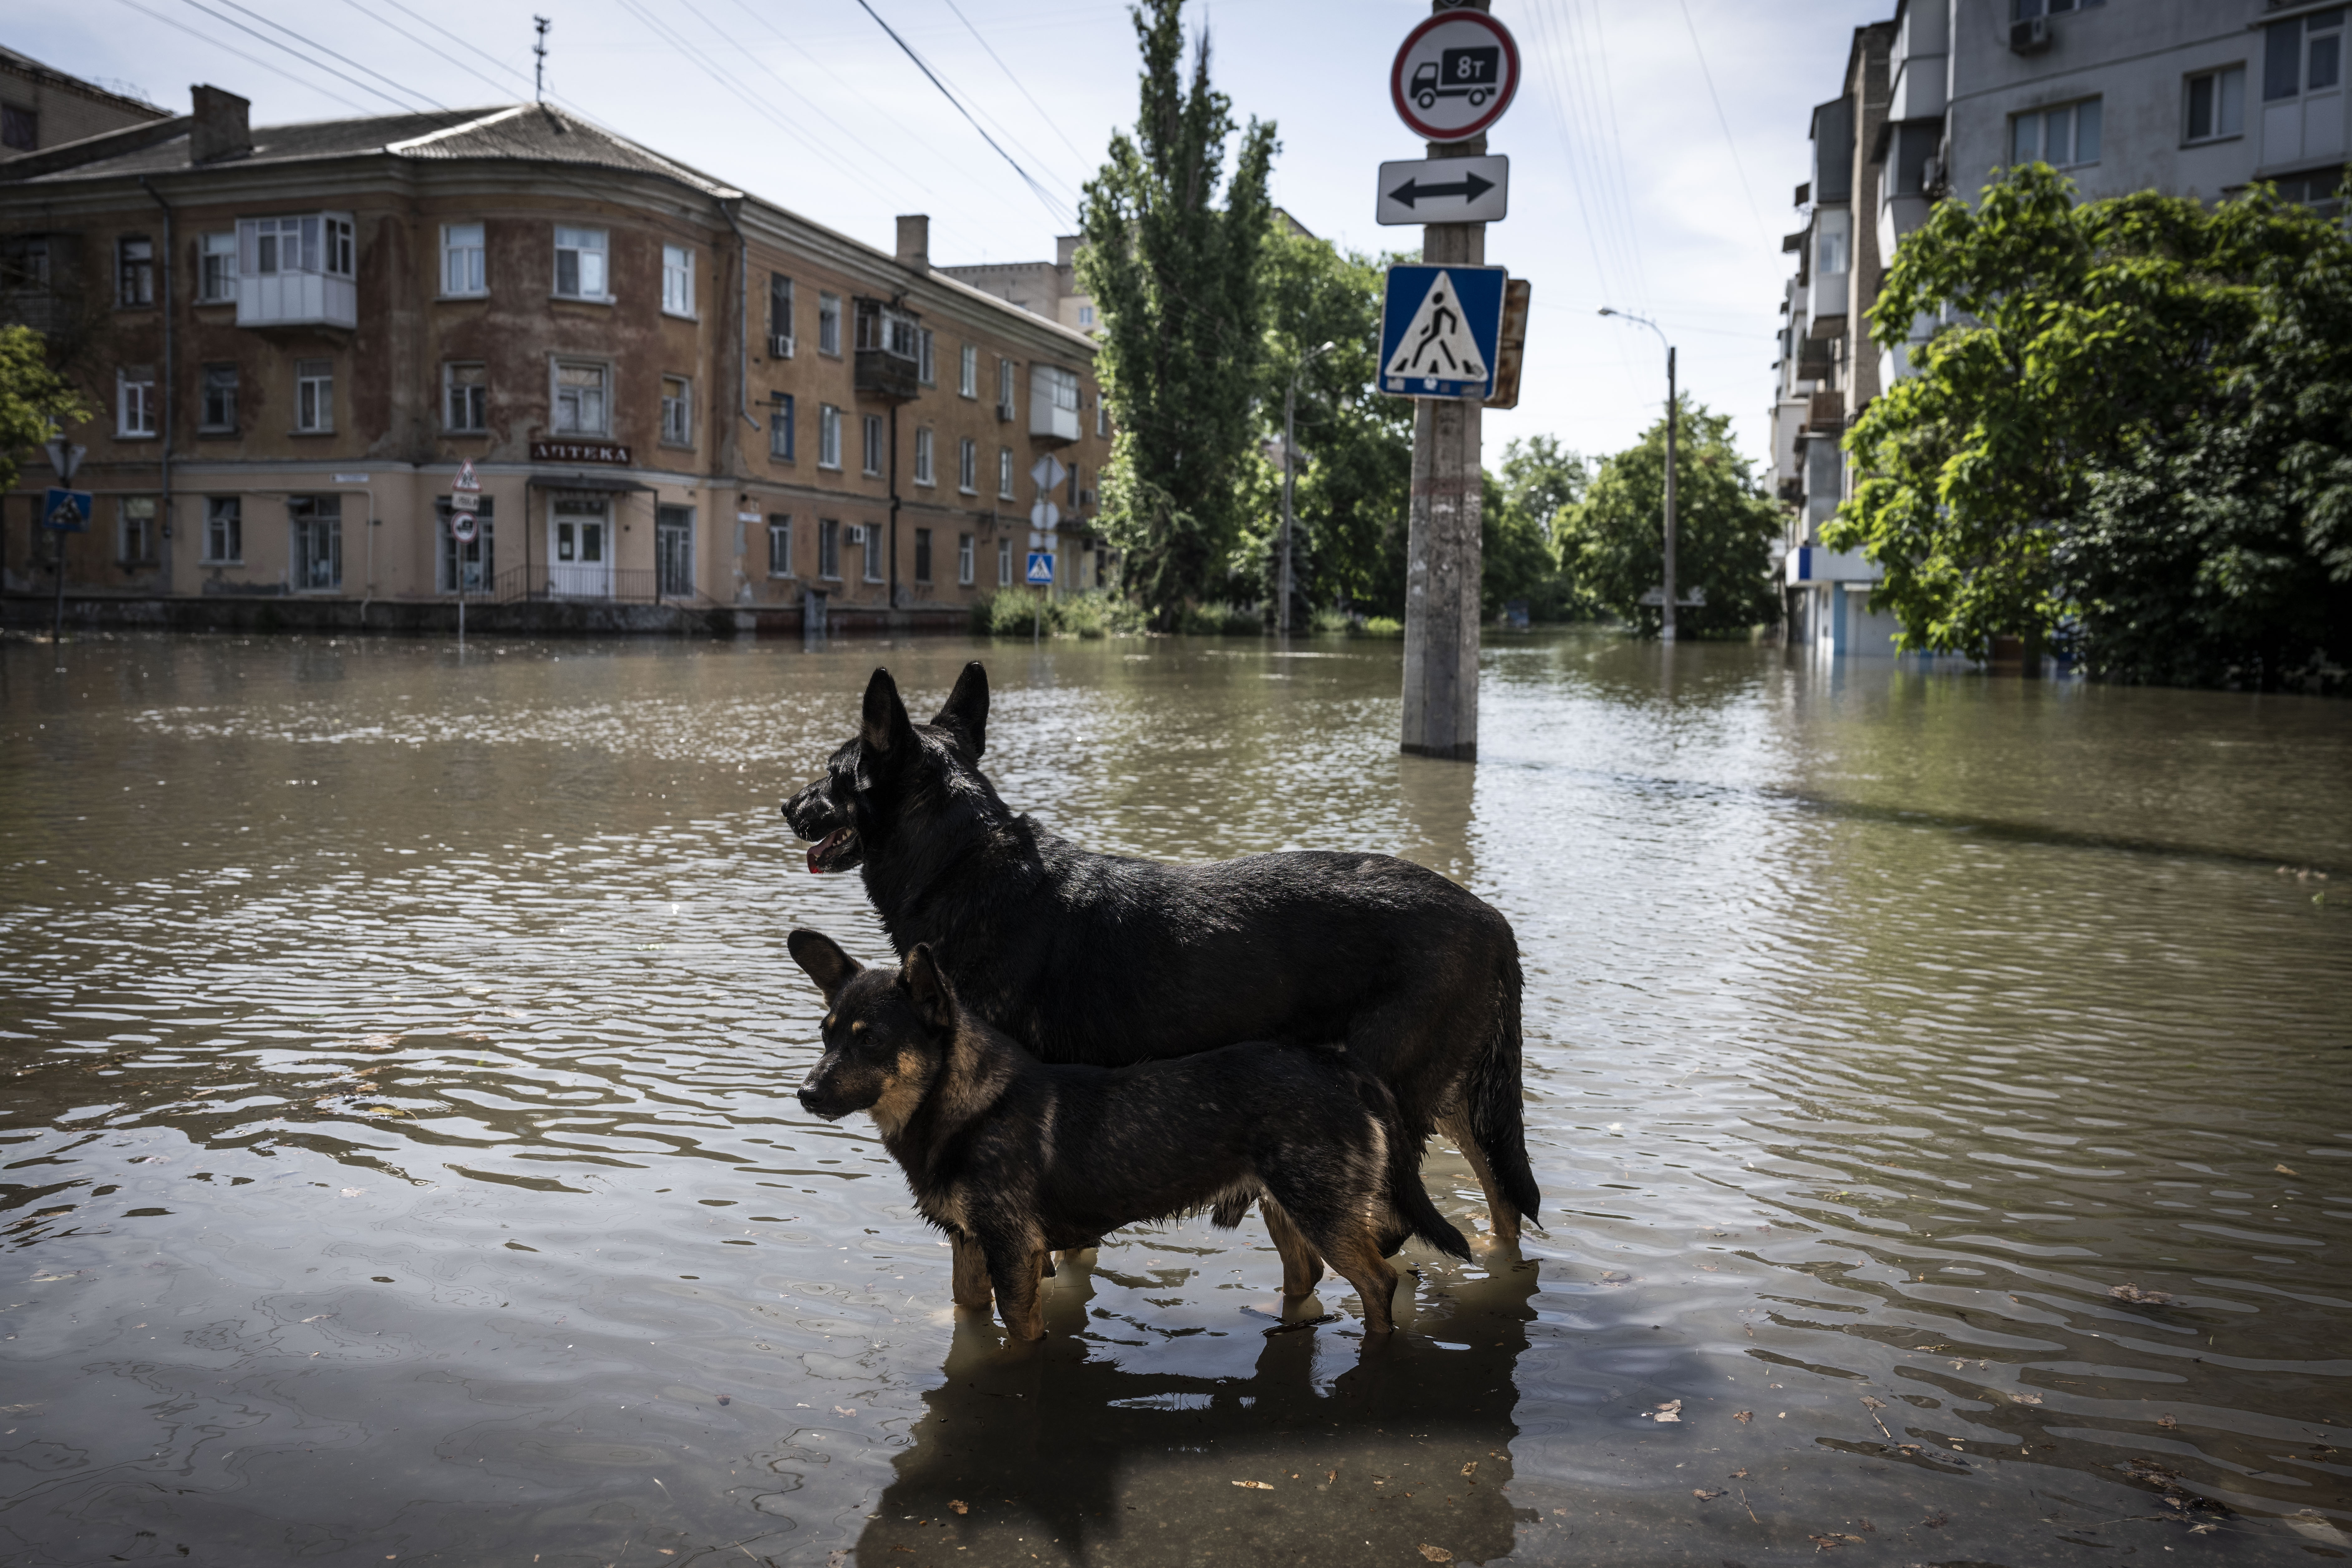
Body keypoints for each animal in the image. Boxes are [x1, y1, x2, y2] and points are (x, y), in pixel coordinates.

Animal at [781, 663, 1533, 1260]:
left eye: (833, 774)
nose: (787, 805)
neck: (962, 865)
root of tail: (1495, 922)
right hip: (1460, 1100)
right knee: (1504, 1200)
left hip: (1395, 1092)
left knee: (1398, 1228)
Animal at [790, 926, 1467, 1345]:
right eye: (826, 1034)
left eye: (872, 1040)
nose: (806, 1093)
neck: (966, 1108)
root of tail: (1340, 1066)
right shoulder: (969, 1248)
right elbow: (967, 1321)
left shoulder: (1015, 1257)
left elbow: (1021, 1342)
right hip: (1290, 1208)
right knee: (1306, 1277)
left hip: (1323, 1212)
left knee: (1382, 1282)